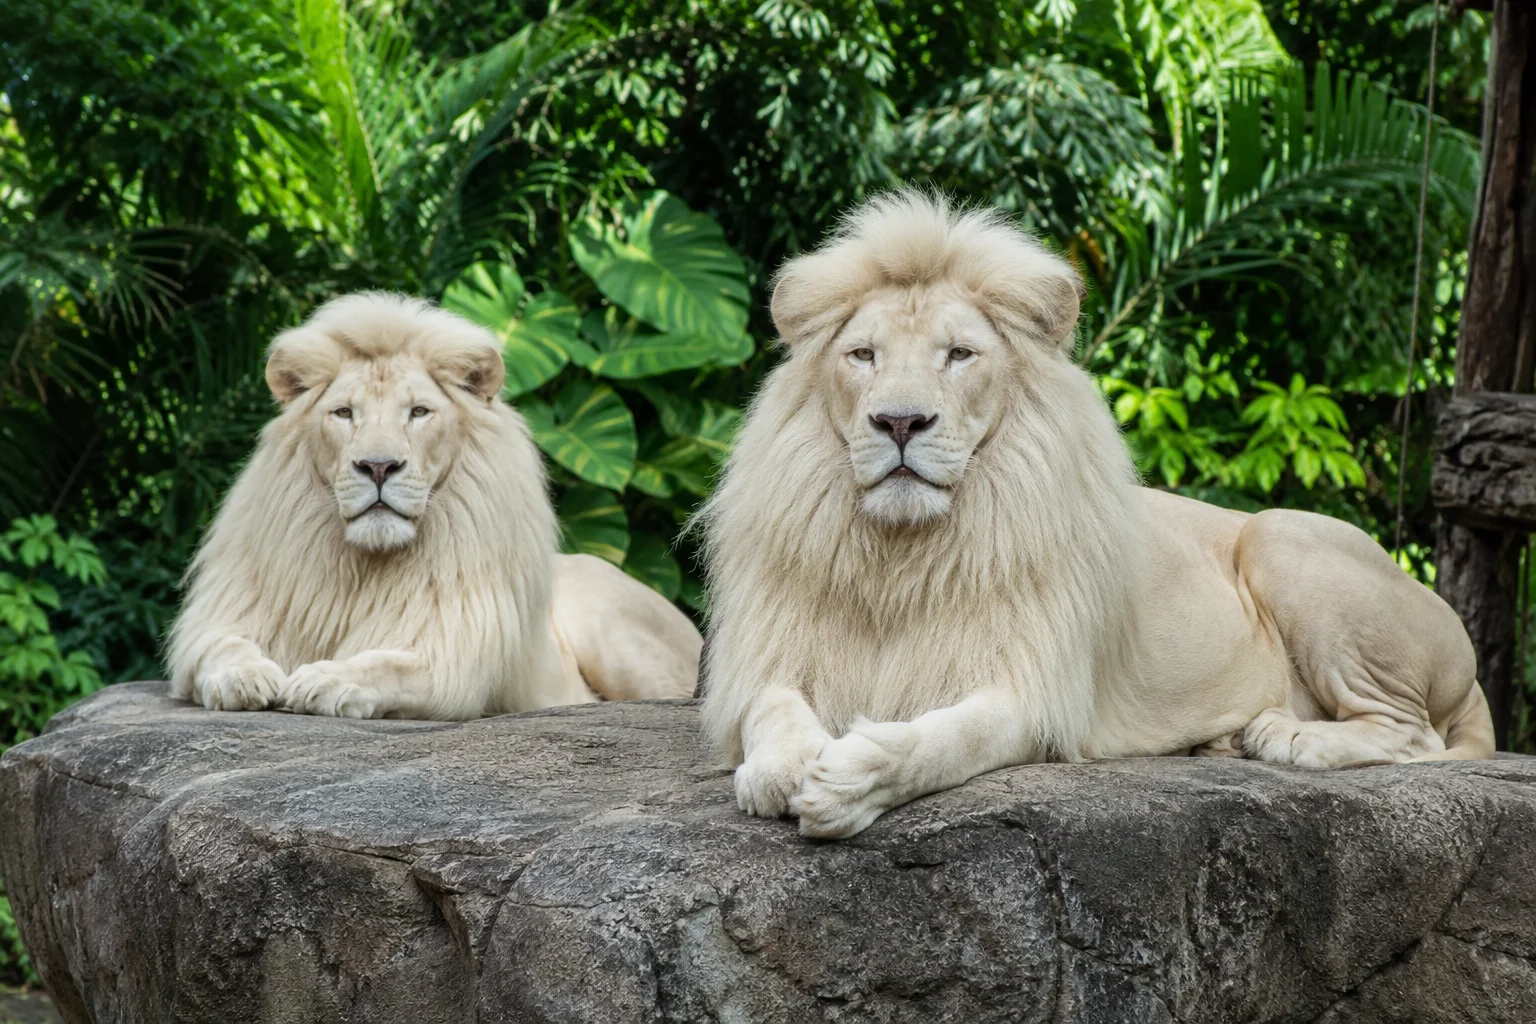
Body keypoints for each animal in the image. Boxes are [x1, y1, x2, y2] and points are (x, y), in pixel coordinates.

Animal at [167, 292, 701, 719]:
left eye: (419, 412)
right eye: (344, 413)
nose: (378, 466)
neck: (363, 566)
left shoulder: (455, 653)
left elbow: (388, 663)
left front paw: (329, 679)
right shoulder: (231, 614)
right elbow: (219, 644)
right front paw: (244, 678)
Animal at [697, 190, 1494, 839]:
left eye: (960, 354)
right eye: (863, 355)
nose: (899, 421)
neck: (904, 553)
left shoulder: (1035, 692)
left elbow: (942, 740)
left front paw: (849, 779)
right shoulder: (769, 654)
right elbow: (771, 710)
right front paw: (781, 768)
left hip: (1282, 533)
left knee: (1415, 736)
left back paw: (1286, 736)